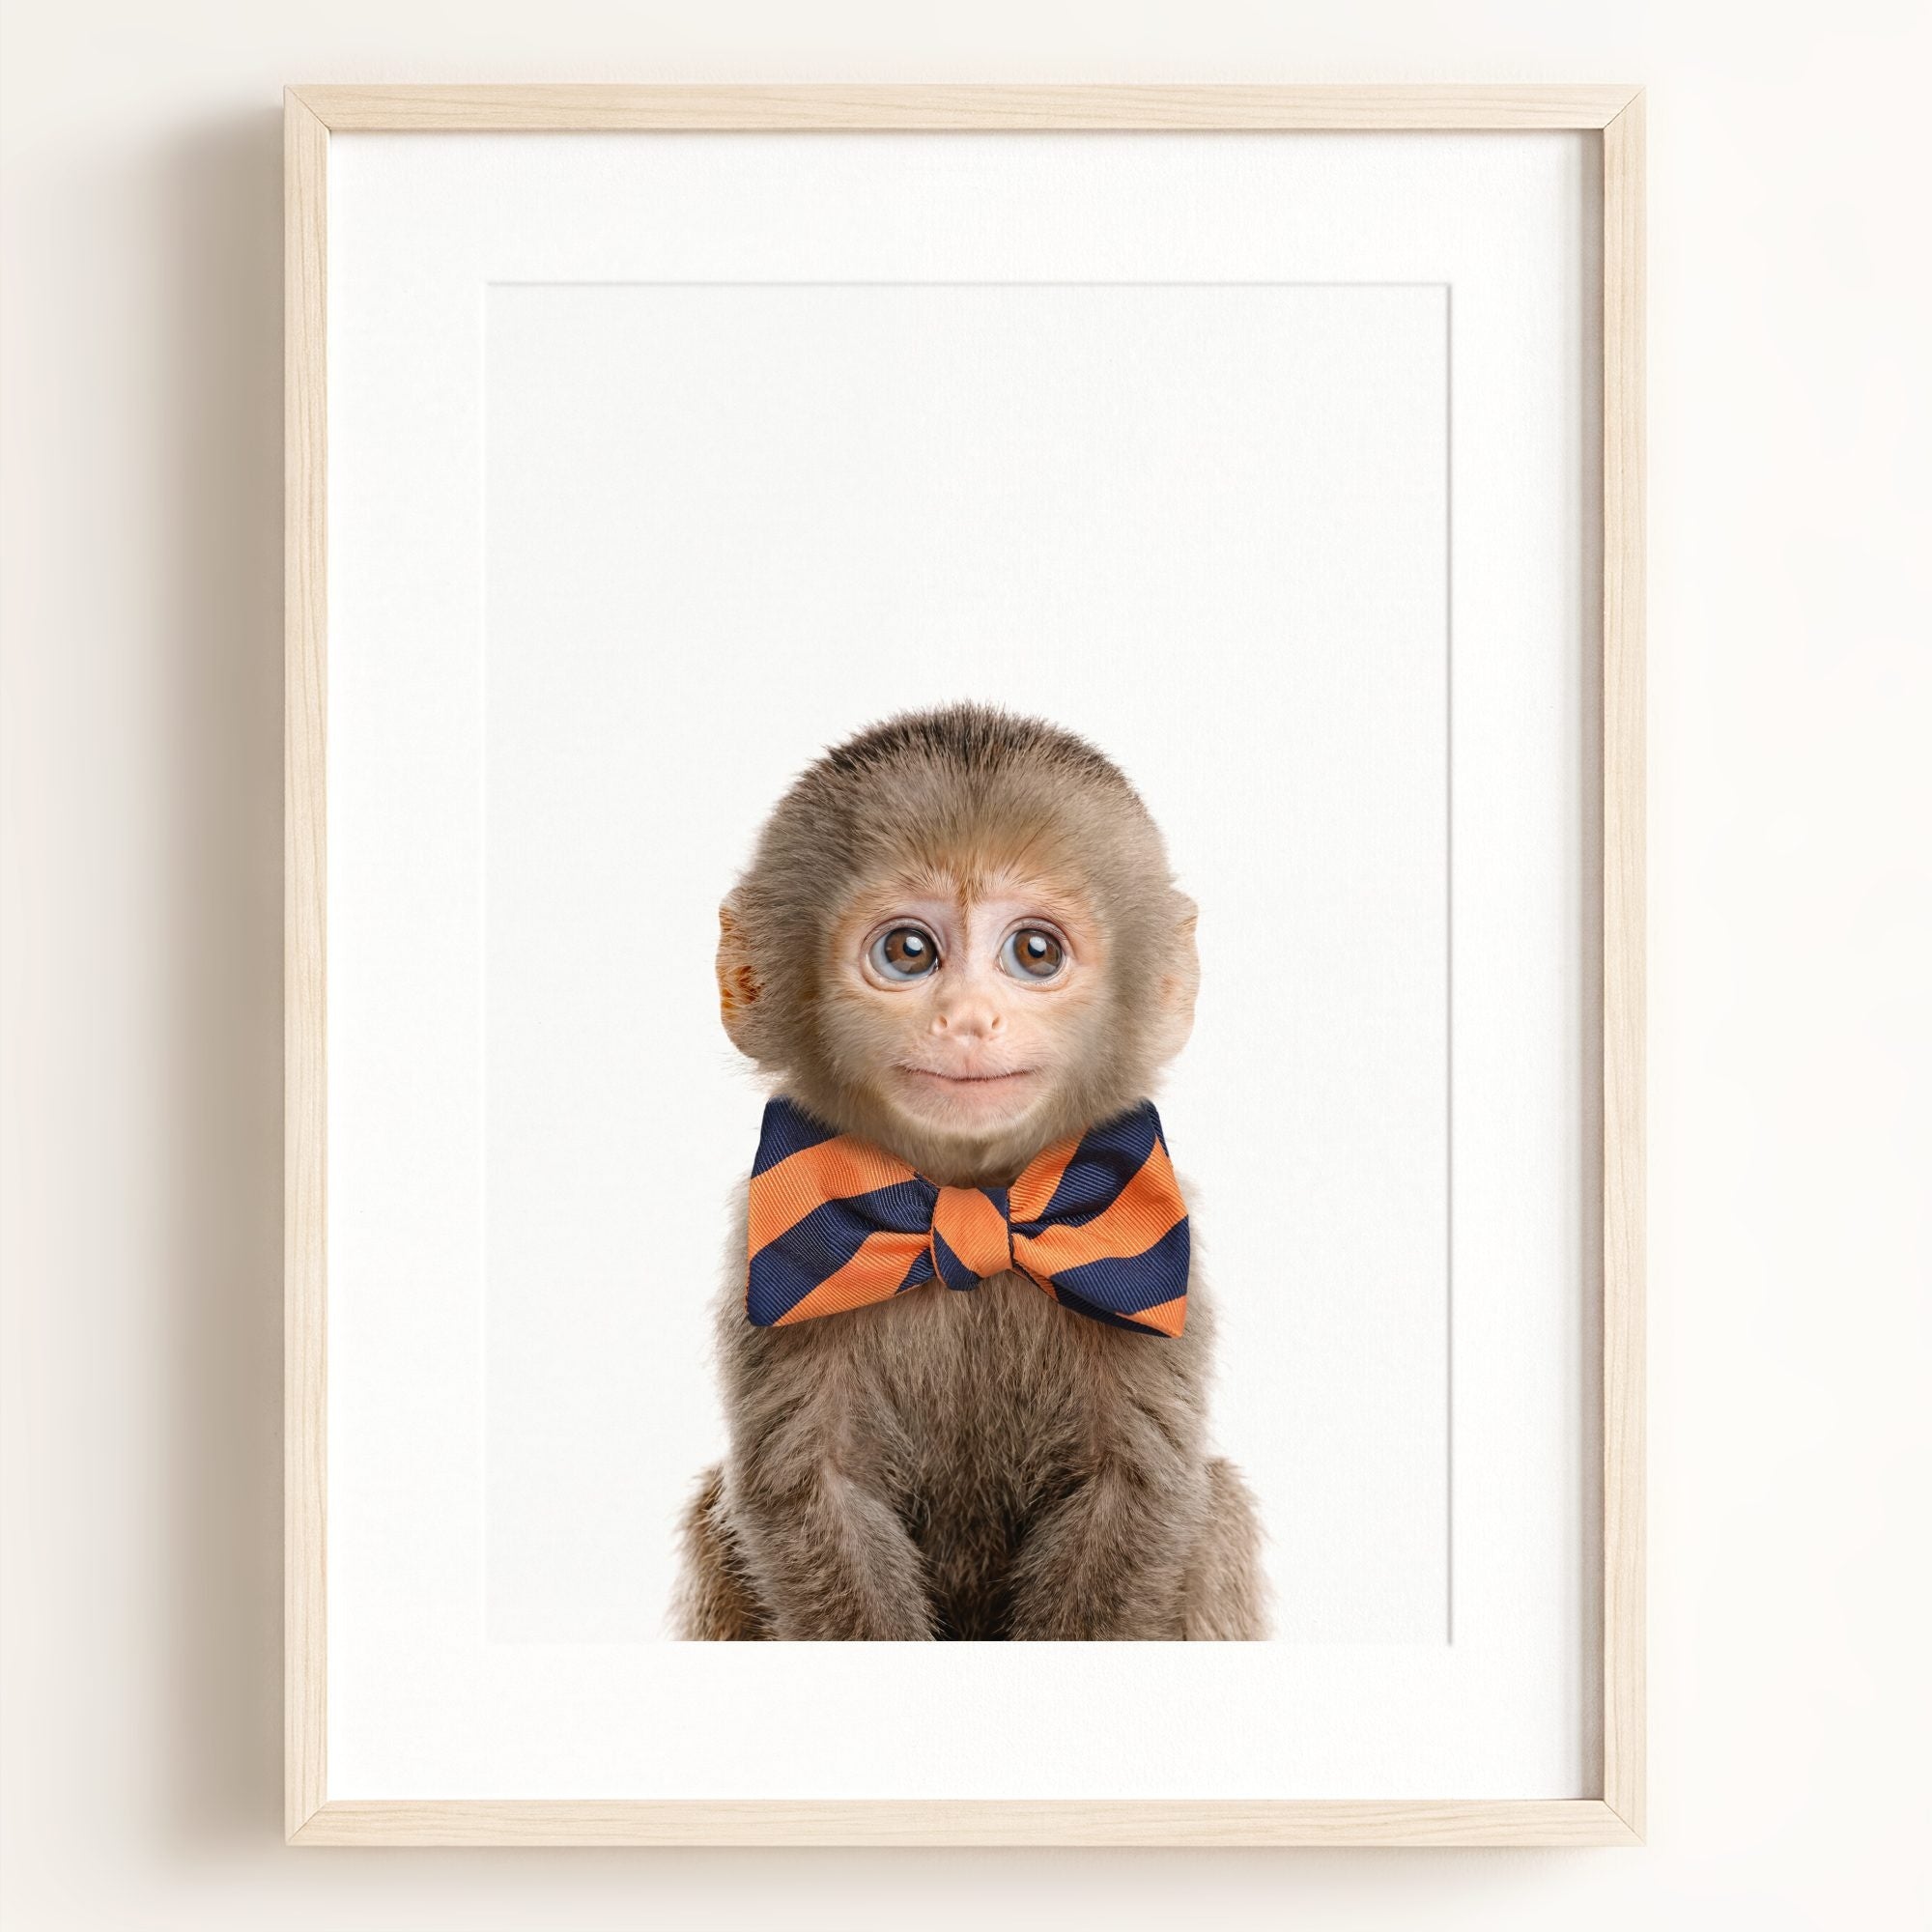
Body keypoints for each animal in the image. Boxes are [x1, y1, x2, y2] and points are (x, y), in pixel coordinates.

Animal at [673, 703, 1267, 1641]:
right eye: (910, 952)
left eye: (1035, 952)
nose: (968, 1019)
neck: (964, 1195)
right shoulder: (769, 1252)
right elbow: (812, 1491)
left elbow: (1136, 1489)